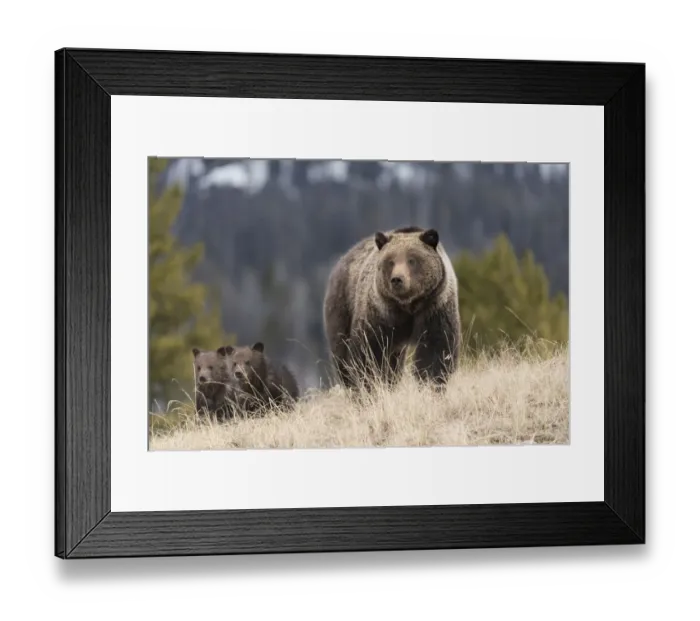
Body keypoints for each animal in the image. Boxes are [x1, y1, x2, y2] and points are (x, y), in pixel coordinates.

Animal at [322, 226, 462, 390]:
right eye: (390, 261)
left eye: (412, 260)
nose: (397, 279)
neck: (408, 305)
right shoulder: (381, 313)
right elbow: (369, 351)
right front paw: (371, 384)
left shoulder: (435, 307)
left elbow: (436, 348)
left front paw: (430, 383)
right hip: (342, 306)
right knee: (342, 352)